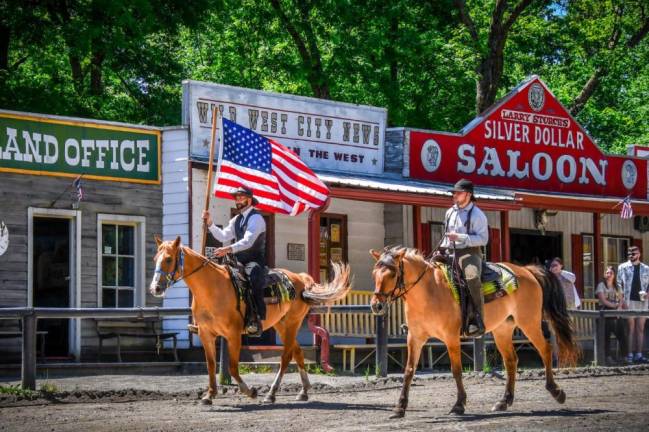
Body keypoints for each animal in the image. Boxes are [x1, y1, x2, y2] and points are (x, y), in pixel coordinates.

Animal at [150, 236, 352, 404]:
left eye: (168, 259)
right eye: (155, 259)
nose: (155, 288)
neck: (212, 288)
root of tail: (300, 279)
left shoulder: (233, 335)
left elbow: (232, 367)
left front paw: (250, 391)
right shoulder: (206, 334)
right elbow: (211, 365)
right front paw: (209, 395)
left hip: (292, 323)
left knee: (286, 357)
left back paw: (271, 393)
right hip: (281, 325)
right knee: (297, 352)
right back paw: (303, 391)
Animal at [370, 246, 576, 418]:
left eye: (393, 273)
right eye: (374, 274)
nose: (376, 305)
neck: (428, 291)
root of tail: (527, 271)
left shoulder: (451, 338)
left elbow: (456, 370)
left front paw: (459, 405)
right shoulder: (415, 338)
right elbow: (409, 371)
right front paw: (399, 408)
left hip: (529, 323)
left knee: (545, 349)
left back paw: (556, 391)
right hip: (502, 330)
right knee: (511, 361)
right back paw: (504, 401)